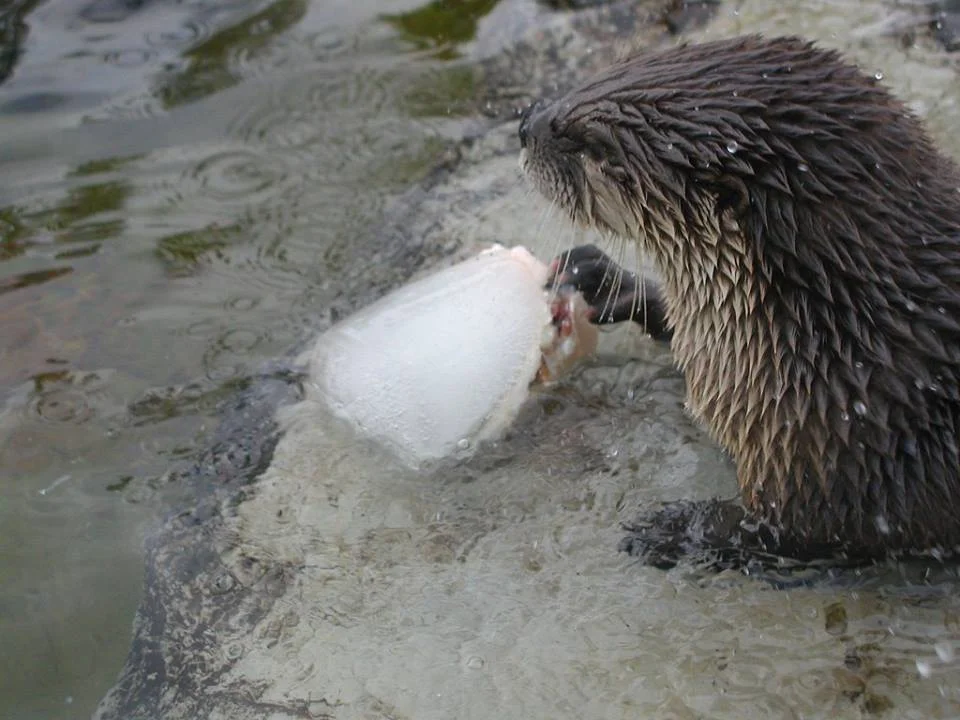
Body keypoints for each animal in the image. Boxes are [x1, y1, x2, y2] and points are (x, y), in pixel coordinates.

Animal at [519, 34, 960, 568]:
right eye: (606, 69)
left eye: (592, 145)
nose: (524, 126)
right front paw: (604, 280)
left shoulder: (857, 474)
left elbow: (799, 535)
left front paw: (676, 531)